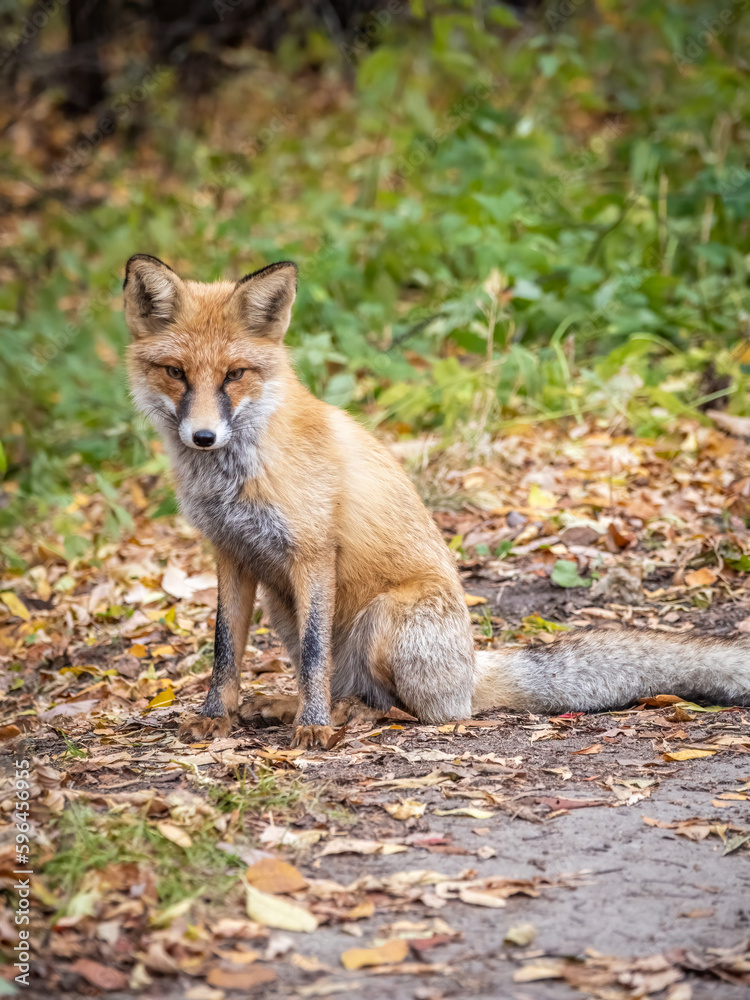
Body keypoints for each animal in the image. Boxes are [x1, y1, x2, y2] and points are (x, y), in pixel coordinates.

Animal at [125, 254, 750, 748]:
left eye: (234, 375)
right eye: (176, 372)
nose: (203, 437)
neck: (235, 474)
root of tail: (470, 670)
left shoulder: (313, 554)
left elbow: (312, 655)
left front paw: (313, 728)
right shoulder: (232, 554)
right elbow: (225, 651)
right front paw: (218, 717)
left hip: (384, 621)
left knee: (417, 711)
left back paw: (349, 716)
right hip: (286, 610)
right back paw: (290, 707)